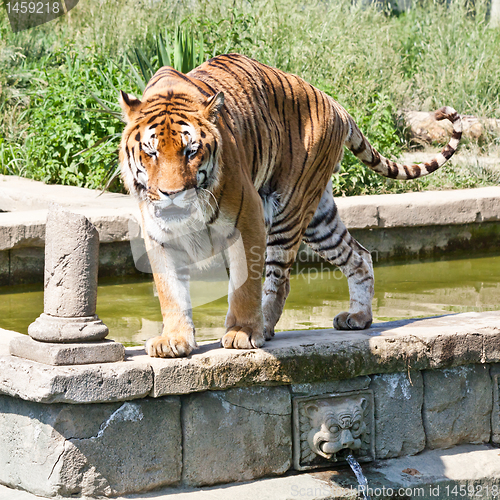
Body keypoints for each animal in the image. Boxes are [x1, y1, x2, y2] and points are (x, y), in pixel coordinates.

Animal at [119, 52, 462, 358]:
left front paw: (242, 333)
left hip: (289, 211)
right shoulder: (159, 235)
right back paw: (358, 317)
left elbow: (244, 285)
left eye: (191, 151)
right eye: (151, 152)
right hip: (319, 220)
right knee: (359, 255)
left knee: (280, 282)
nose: (172, 193)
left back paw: (264, 327)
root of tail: (335, 103)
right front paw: (173, 341)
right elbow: (170, 291)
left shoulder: (247, 218)